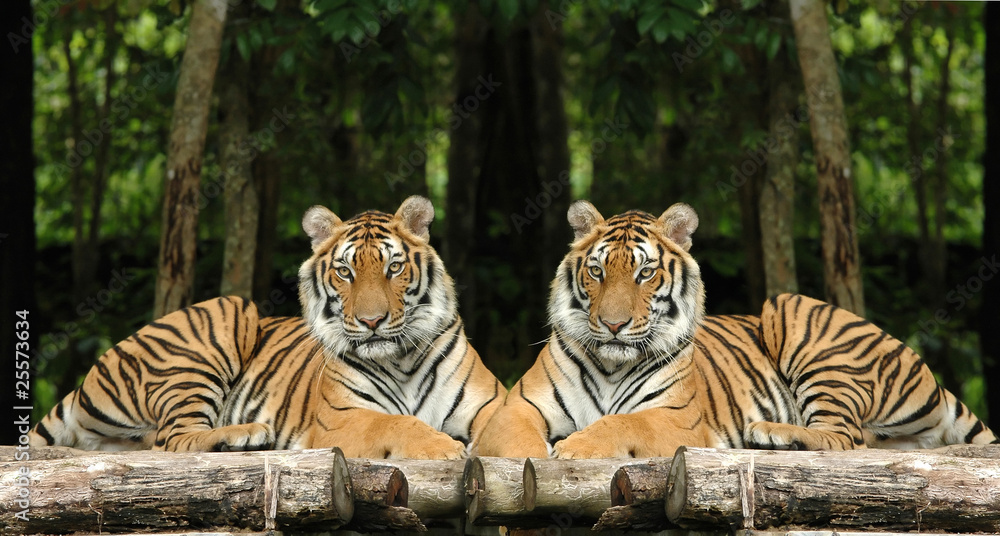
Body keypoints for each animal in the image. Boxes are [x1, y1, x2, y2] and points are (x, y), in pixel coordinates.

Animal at [30, 196, 505, 458]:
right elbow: (395, 423)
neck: (400, 360)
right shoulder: (339, 421)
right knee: (173, 440)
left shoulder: (491, 404)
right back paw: (247, 435)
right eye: (345, 272)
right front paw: (443, 447)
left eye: (393, 268)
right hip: (227, 313)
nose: (371, 322)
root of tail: (88, 374)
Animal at [474, 200, 997, 458]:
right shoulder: (517, 407)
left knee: (844, 437)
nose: (614, 325)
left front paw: (575, 447)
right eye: (597, 272)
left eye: (645, 273)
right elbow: (518, 447)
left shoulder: (676, 418)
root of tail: (928, 372)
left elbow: (621, 422)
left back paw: (771, 433)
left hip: (793, 314)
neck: (610, 365)